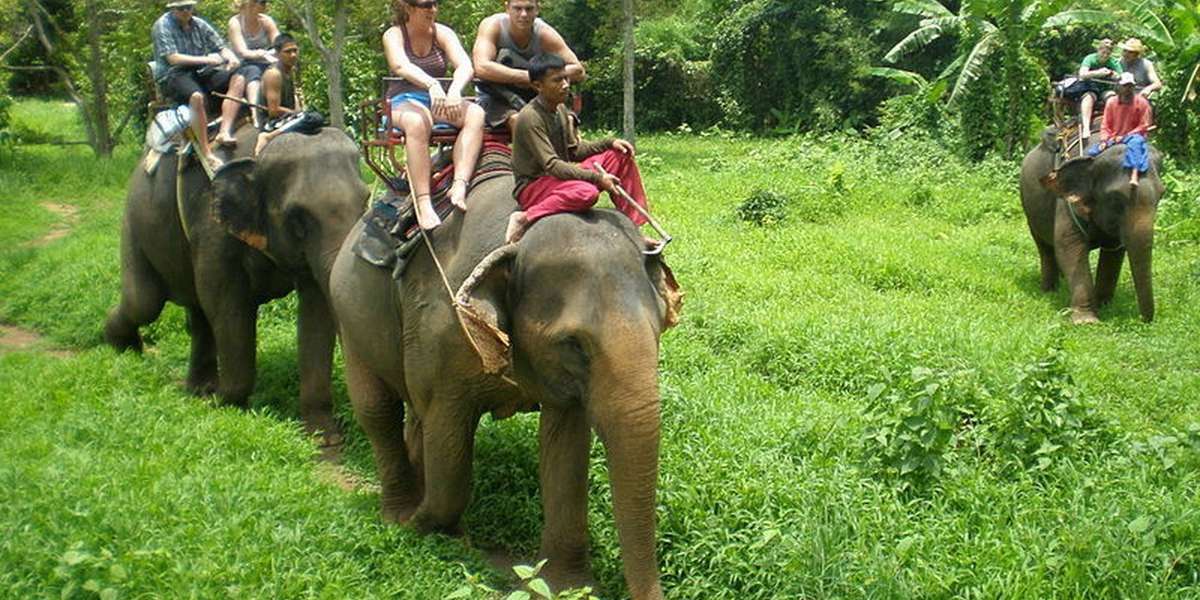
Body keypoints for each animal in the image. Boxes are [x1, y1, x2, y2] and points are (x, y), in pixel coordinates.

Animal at [104, 125, 369, 445]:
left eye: (366, 202)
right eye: (297, 217)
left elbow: (316, 310)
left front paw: (324, 437)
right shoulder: (213, 230)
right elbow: (228, 308)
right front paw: (227, 406)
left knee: (195, 311)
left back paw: (200, 389)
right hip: (134, 221)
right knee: (144, 301)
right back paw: (123, 347)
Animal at [329, 168, 682, 599]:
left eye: (659, 327)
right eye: (574, 344)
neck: (517, 239)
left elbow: (565, 448)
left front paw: (564, 586)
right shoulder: (444, 330)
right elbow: (448, 437)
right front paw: (429, 527)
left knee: (414, 413)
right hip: (349, 312)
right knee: (378, 409)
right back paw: (398, 513)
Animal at [1019, 127, 1163, 323]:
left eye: (1161, 196)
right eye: (1116, 199)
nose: (1143, 321)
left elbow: (1113, 253)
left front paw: (1104, 305)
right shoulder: (1066, 202)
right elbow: (1069, 247)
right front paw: (1086, 321)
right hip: (1029, 207)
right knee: (1045, 247)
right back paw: (1050, 290)